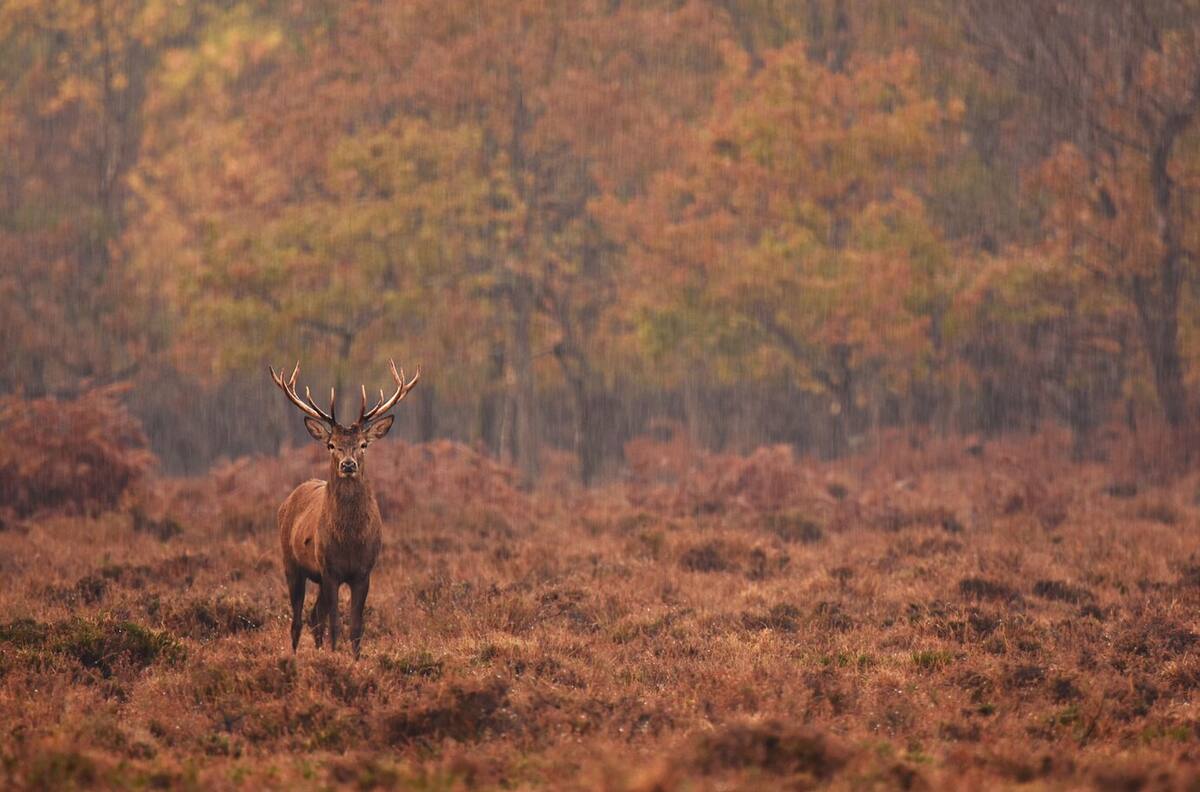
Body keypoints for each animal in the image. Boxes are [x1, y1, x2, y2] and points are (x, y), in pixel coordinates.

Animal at [269, 359, 419, 658]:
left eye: (363, 444)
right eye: (331, 445)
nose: (348, 464)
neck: (350, 539)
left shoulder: (364, 571)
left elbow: (356, 626)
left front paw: (355, 660)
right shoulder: (329, 569)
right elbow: (336, 624)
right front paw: (334, 656)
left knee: (314, 616)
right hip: (291, 563)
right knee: (298, 619)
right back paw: (293, 657)